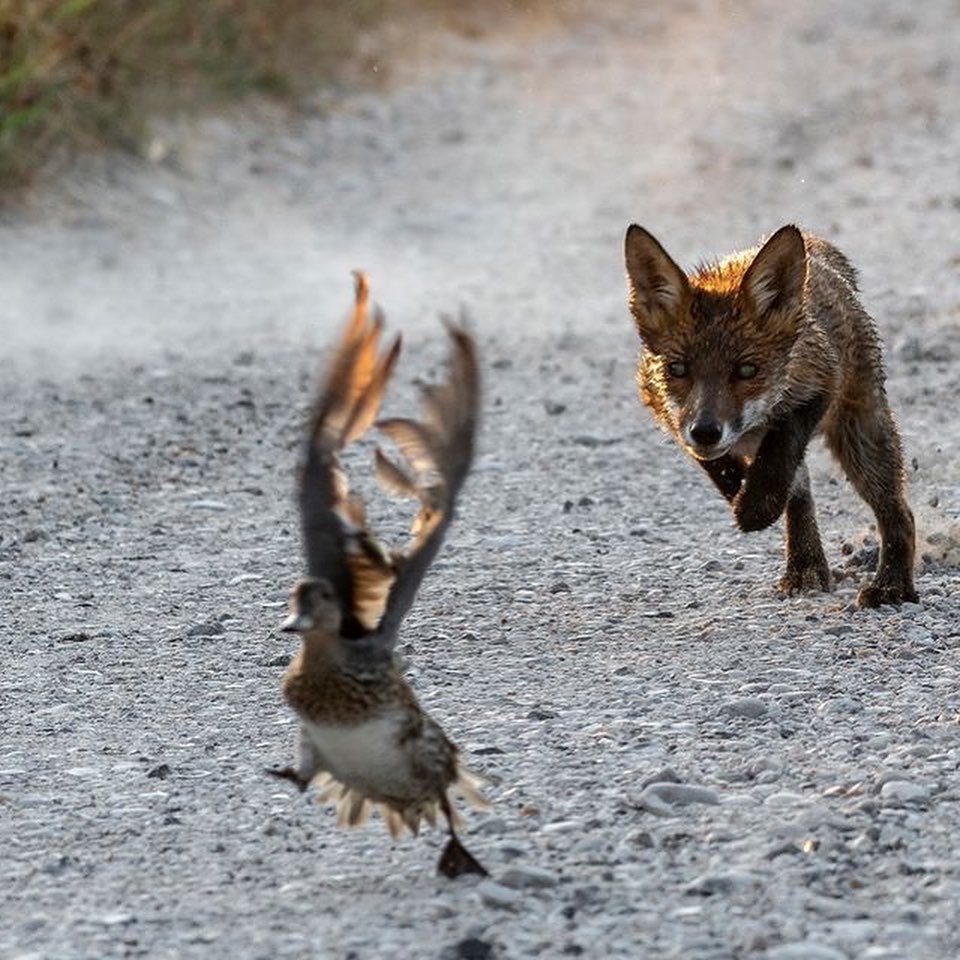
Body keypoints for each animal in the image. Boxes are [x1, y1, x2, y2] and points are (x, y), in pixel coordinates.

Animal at [628, 225, 920, 608]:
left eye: (747, 370)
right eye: (677, 369)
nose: (706, 431)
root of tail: (813, 243)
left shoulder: (820, 381)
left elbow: (781, 452)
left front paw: (756, 506)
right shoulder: (667, 412)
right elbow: (724, 467)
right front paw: (744, 496)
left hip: (863, 435)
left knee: (899, 513)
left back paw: (891, 585)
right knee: (802, 495)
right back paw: (806, 566)